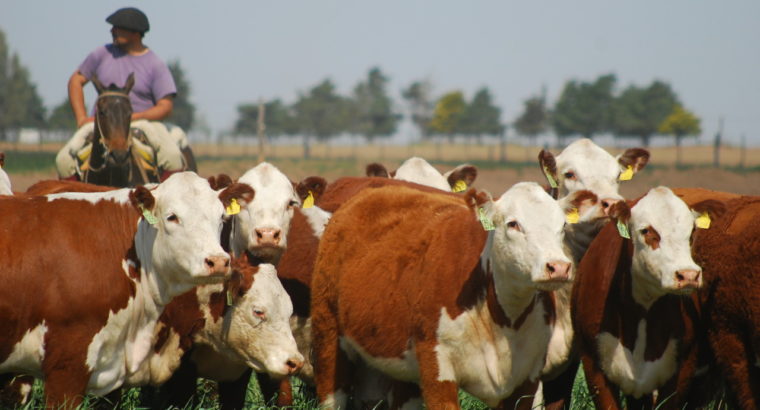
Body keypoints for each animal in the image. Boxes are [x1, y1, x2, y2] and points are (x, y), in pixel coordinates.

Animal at [312, 183, 572, 410]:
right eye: (513, 224)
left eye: (562, 227)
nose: (559, 266)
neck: (502, 319)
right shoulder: (438, 368)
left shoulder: (527, 378)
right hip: (328, 335)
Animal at [568, 187, 724, 408]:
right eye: (646, 231)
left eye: (692, 231)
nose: (688, 275)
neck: (642, 311)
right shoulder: (593, 365)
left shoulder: (684, 368)